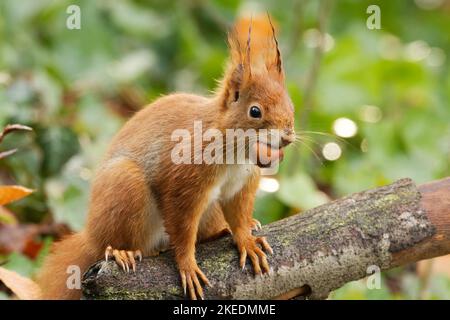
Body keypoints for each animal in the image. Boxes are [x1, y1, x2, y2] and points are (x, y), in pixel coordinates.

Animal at [37, 15, 298, 300]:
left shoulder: (241, 185)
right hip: (125, 187)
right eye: (255, 111)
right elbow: (182, 228)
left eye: (291, 106)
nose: (287, 137)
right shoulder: (184, 181)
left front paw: (246, 240)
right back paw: (121, 251)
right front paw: (187, 265)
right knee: (117, 242)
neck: (236, 153)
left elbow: (238, 216)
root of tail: (90, 235)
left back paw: (222, 230)